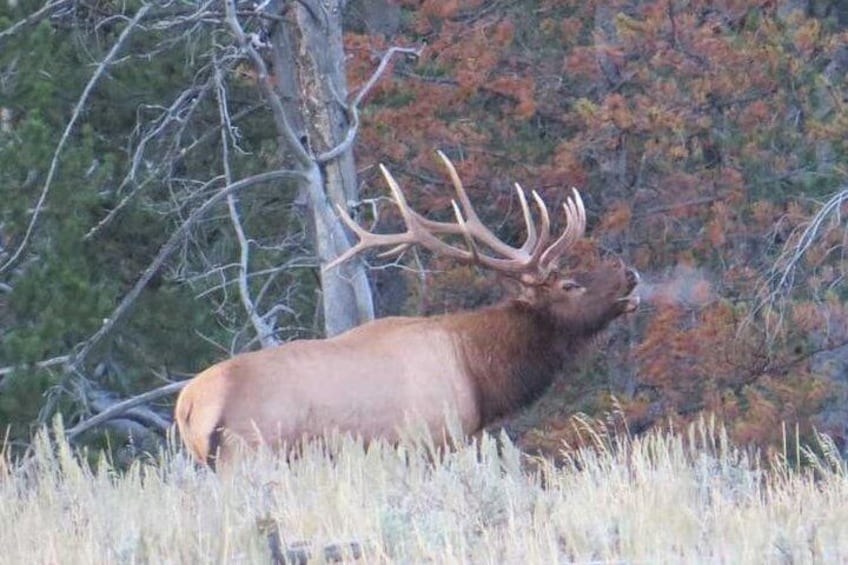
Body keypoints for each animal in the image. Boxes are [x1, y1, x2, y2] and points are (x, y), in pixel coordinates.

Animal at [176, 152, 640, 464]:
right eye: (569, 284)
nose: (629, 272)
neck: (479, 375)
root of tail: (187, 405)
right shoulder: (431, 439)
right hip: (251, 453)